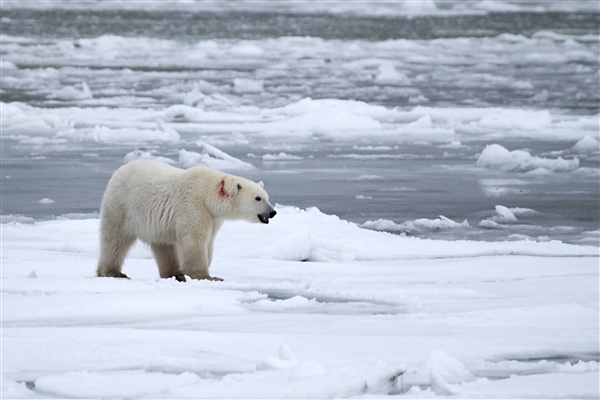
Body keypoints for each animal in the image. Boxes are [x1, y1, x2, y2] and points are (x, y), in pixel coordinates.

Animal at [96, 159, 276, 282]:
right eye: (258, 198)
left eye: (267, 196)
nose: (273, 212)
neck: (207, 193)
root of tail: (120, 170)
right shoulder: (194, 206)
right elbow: (195, 240)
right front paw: (208, 276)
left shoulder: (213, 217)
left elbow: (209, 241)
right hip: (121, 206)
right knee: (115, 239)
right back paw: (112, 272)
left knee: (163, 246)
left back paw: (175, 274)